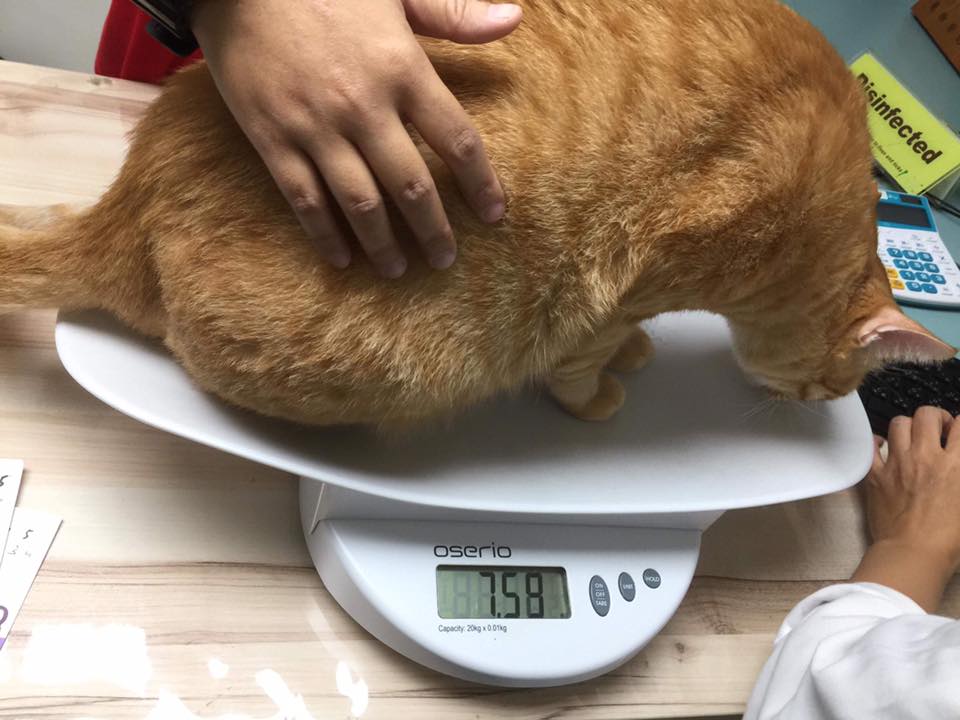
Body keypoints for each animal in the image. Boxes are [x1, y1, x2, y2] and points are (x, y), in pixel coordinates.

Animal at [0, 0, 953, 428]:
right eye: (837, 385)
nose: (812, 405)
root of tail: (131, 202)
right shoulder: (621, 289)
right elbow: (583, 362)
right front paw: (603, 395)